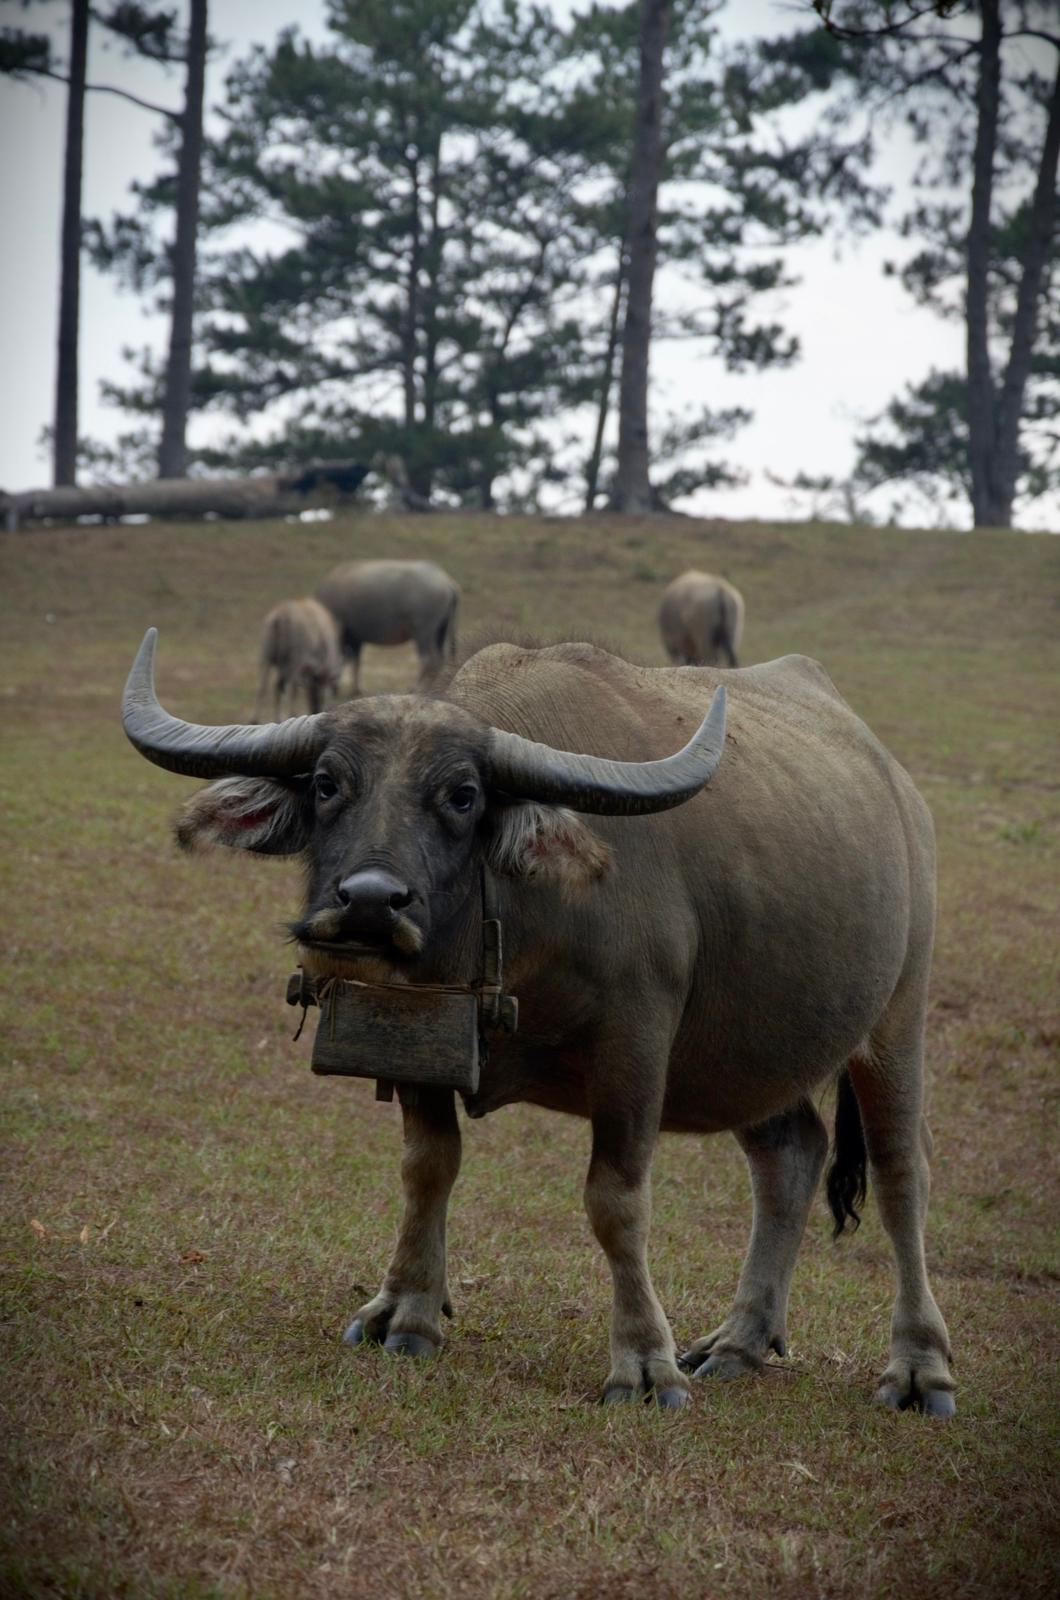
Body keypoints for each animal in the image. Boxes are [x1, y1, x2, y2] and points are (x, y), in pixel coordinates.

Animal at [122, 630, 954, 1420]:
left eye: (462, 795)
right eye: (328, 783)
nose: (369, 901)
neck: (519, 920)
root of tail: (902, 794)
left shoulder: (634, 1048)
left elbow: (615, 1202)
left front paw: (643, 1363)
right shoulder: (426, 1041)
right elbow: (428, 1167)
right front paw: (408, 1312)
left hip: (896, 1014)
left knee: (900, 1174)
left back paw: (918, 1367)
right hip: (748, 1053)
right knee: (792, 1154)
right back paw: (740, 1341)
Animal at [317, 560, 464, 691]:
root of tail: (445, 581)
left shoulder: (349, 637)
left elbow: (352, 661)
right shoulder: (356, 639)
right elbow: (356, 662)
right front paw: (356, 689)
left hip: (423, 632)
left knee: (427, 659)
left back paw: (415, 687)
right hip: (441, 631)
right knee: (439, 659)